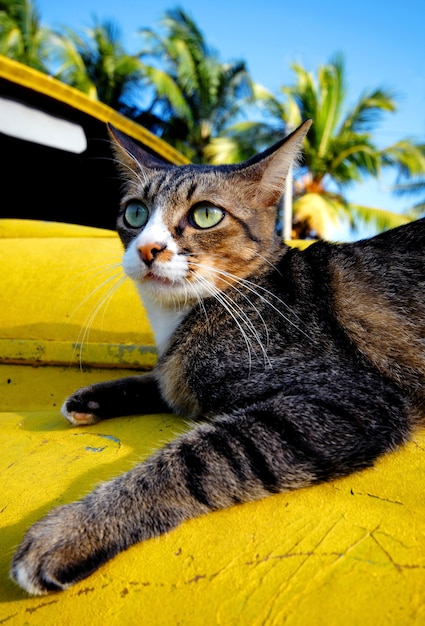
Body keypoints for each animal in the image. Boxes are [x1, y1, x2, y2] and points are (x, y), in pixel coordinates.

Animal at [10, 119, 424, 592]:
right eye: (135, 213)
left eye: (206, 215)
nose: (147, 249)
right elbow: (165, 380)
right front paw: (94, 396)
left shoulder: (349, 397)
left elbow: (198, 458)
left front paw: (75, 529)